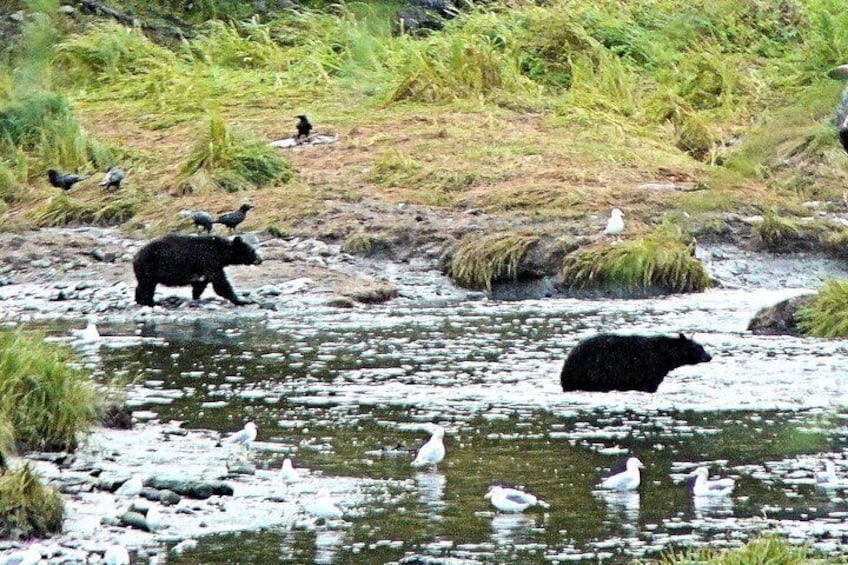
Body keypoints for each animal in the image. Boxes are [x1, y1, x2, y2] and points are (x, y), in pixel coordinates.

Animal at [133, 234, 262, 306]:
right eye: (252, 250)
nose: (260, 259)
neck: (221, 252)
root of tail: (136, 255)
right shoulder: (209, 261)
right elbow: (220, 284)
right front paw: (242, 300)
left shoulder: (205, 267)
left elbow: (201, 284)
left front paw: (196, 297)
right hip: (149, 266)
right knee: (147, 286)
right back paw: (149, 302)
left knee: (143, 285)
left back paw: (139, 300)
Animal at [560, 333, 712, 393]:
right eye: (699, 348)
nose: (709, 356)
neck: (665, 357)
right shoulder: (649, 370)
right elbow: (649, 385)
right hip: (590, 373)